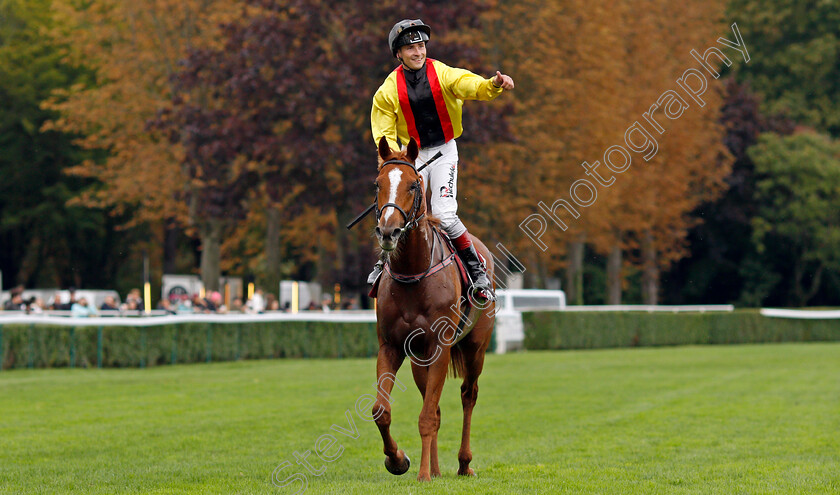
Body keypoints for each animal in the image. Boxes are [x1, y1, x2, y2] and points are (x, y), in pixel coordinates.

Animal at [370, 137, 498, 484]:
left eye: (414, 185)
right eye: (377, 184)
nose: (388, 231)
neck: (413, 272)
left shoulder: (440, 346)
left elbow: (427, 415)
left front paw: (424, 475)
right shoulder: (391, 346)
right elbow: (382, 410)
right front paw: (398, 460)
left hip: (475, 347)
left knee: (468, 394)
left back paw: (463, 463)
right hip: (419, 360)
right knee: (437, 405)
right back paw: (439, 468)